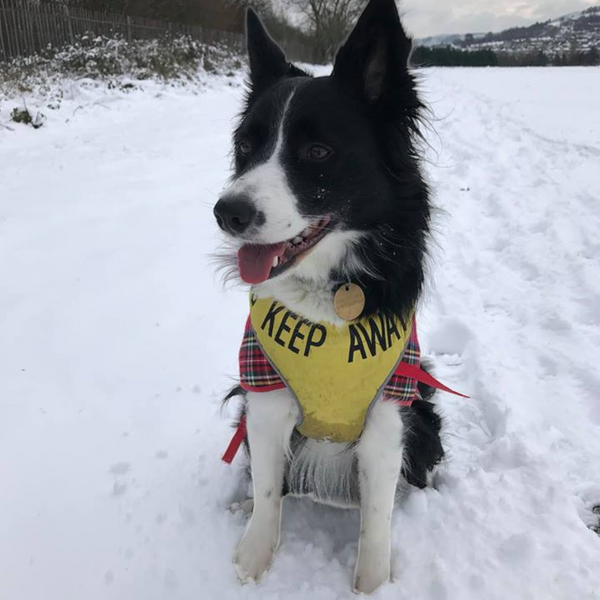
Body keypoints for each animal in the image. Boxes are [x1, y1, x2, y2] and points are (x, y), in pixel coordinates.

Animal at [213, 0, 448, 592]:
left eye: (317, 151)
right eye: (245, 147)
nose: (227, 213)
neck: (328, 296)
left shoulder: (390, 409)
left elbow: (377, 511)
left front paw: (373, 581)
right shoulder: (264, 392)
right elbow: (268, 490)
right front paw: (255, 557)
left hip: (425, 414)